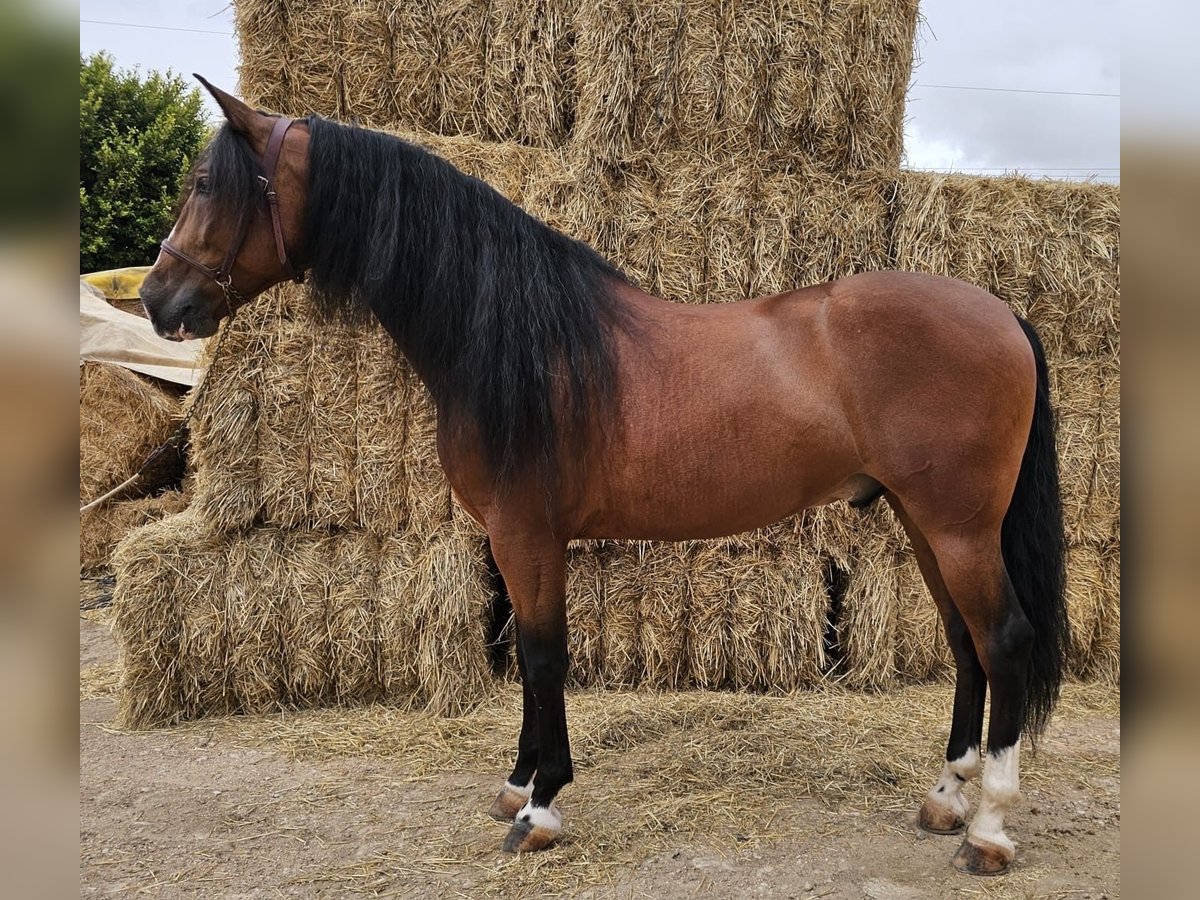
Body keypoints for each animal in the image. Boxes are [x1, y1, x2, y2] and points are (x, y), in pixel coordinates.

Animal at [140, 81, 1070, 878]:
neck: (517, 341)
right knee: (965, 645)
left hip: (957, 526)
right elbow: (524, 655)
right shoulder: (507, 538)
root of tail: (1001, 312)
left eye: (206, 184)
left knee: (1004, 641)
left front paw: (541, 808)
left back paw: (989, 829)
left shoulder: (528, 532)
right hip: (924, 520)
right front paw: (517, 784)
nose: (158, 299)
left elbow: (544, 655)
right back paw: (946, 799)